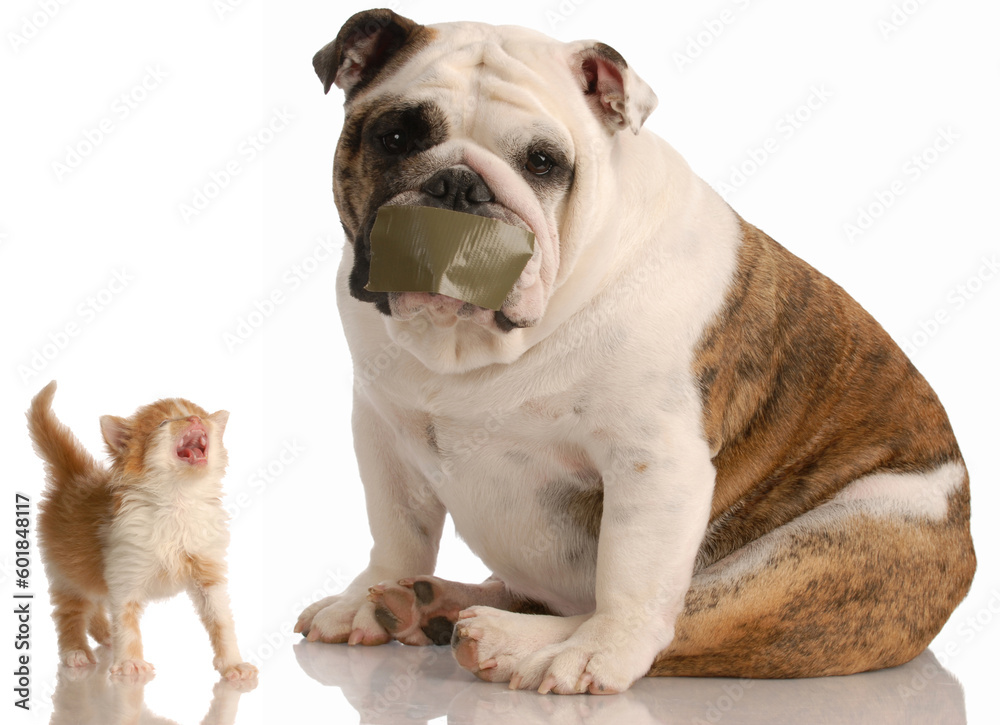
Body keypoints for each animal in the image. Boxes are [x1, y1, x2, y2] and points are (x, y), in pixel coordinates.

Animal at [27, 382, 258, 680]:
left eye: (198, 415)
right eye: (165, 422)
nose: (195, 420)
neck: (177, 501)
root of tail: (76, 477)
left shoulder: (208, 572)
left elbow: (222, 621)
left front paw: (232, 664)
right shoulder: (125, 571)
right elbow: (126, 620)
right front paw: (130, 664)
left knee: (97, 603)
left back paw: (106, 634)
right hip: (66, 570)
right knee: (70, 611)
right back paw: (76, 651)